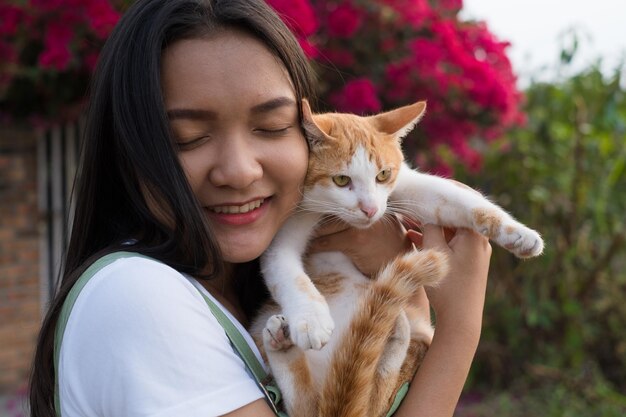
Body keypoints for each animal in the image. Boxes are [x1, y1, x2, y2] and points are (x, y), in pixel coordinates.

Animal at [249, 101, 540, 416]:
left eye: (383, 175)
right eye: (341, 180)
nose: (370, 210)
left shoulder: (406, 186)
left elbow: (452, 199)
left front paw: (518, 233)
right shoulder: (283, 229)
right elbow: (285, 270)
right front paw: (311, 320)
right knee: (308, 406)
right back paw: (285, 345)